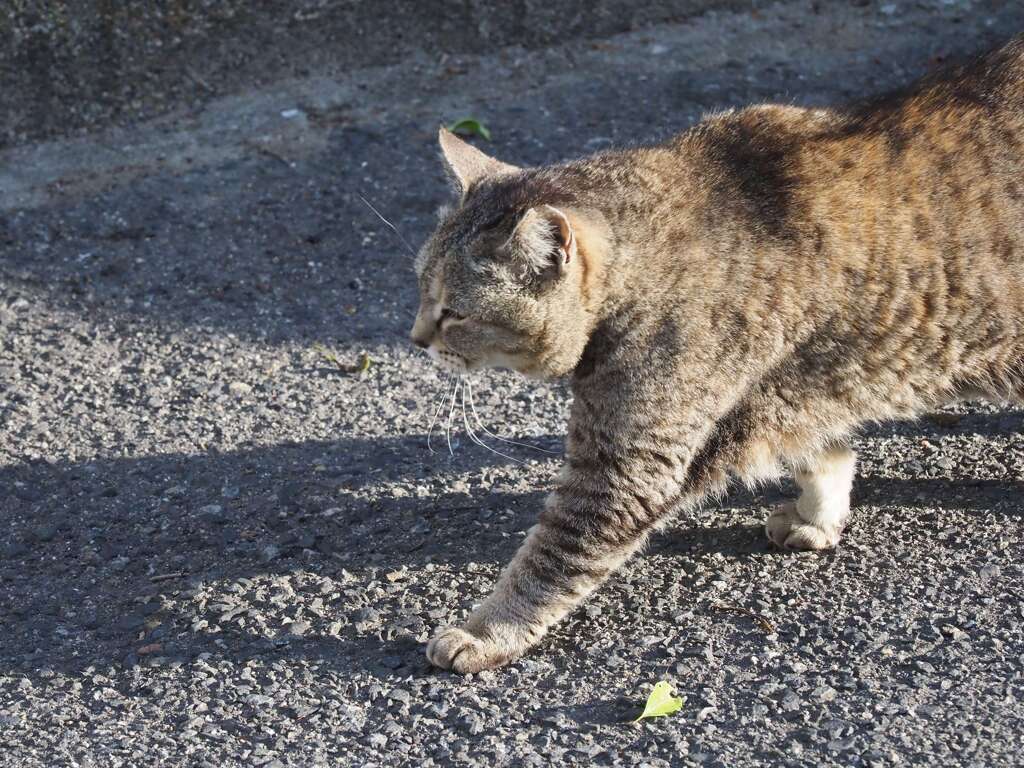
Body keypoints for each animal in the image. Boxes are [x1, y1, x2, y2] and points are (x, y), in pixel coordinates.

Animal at [407, 36, 1024, 671]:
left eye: (454, 312)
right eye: (419, 286)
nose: (416, 338)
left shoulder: (626, 465)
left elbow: (551, 556)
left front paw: (486, 633)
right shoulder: (791, 391)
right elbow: (823, 455)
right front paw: (818, 516)